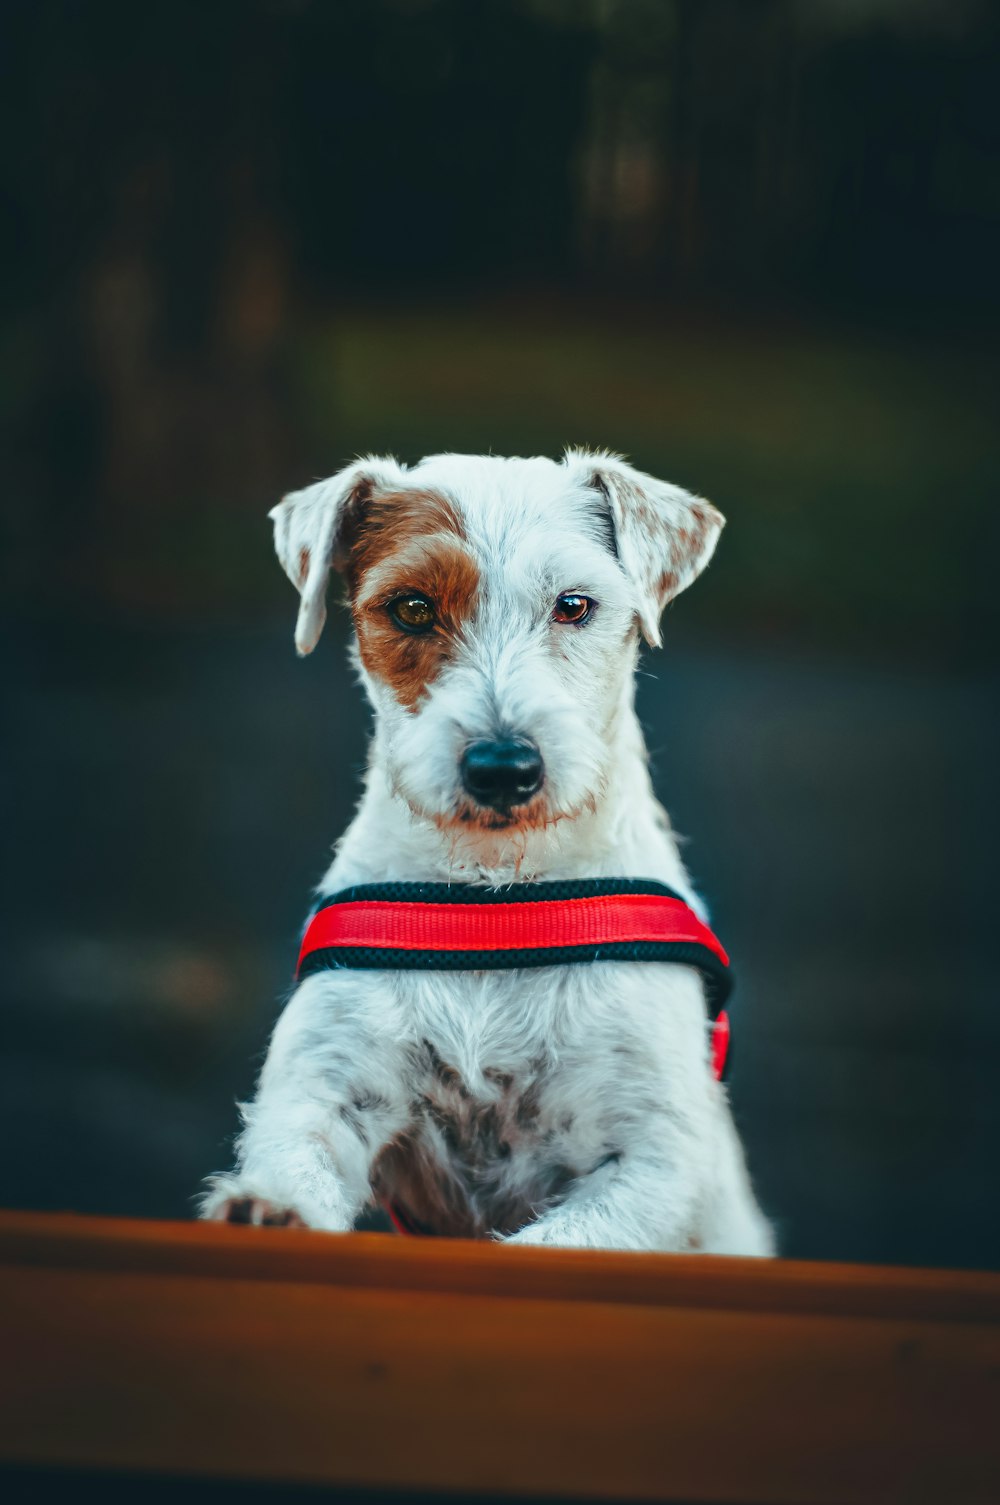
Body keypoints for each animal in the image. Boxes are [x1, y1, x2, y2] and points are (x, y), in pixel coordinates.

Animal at [198, 448, 768, 1258]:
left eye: (574, 604)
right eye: (410, 608)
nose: (503, 767)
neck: (496, 898)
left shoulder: (654, 1159)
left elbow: (557, 1242)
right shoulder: (325, 1085)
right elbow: (296, 1152)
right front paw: (269, 1209)